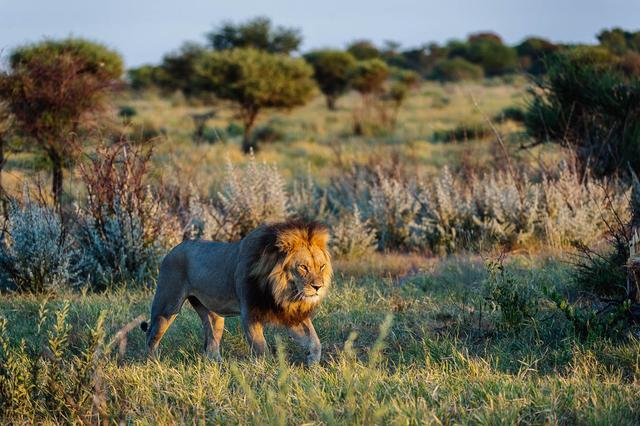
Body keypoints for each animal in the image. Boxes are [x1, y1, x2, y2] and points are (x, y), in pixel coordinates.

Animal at [139, 220, 330, 362]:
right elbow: (261, 349)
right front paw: (269, 372)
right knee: (150, 337)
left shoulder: (288, 312)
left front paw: (313, 364)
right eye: (303, 267)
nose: (318, 287)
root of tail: (171, 250)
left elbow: (315, 341)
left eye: (321, 267)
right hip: (166, 307)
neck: (280, 290)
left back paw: (219, 366)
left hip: (213, 316)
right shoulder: (250, 313)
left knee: (211, 345)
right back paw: (154, 364)